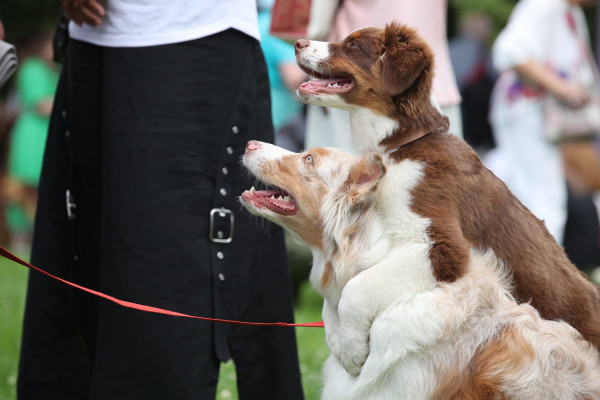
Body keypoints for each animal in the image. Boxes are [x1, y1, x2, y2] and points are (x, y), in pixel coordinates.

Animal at [292, 22, 600, 350]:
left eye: (353, 46)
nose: (297, 43)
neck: (400, 147)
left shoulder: (441, 244)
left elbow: (356, 289)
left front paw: (351, 348)